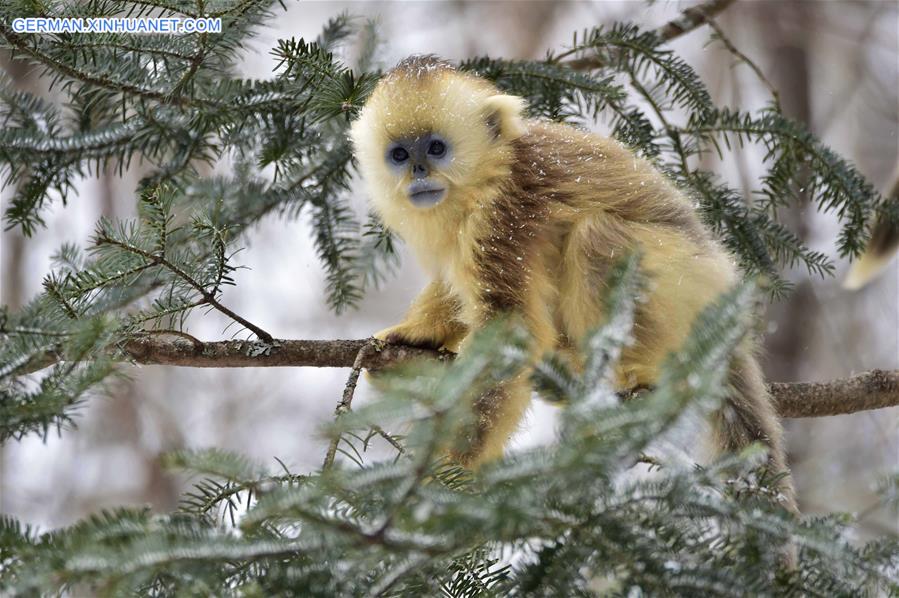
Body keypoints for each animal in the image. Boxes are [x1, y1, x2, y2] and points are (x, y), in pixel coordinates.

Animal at [348, 56, 800, 512]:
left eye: (436, 148)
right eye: (400, 154)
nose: (419, 172)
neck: (489, 176)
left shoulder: (501, 218)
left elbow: (511, 337)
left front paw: (442, 480)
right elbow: (454, 286)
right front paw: (418, 333)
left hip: (685, 278)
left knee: (596, 236)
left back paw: (628, 377)